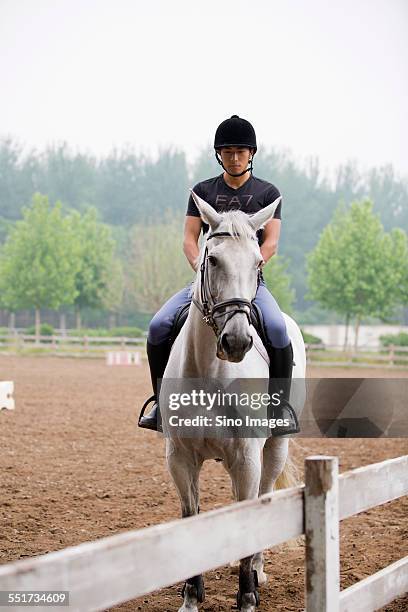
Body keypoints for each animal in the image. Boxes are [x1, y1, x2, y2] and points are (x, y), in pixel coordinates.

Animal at [160, 192, 306, 612]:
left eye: (258, 262)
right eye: (212, 259)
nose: (237, 341)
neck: (210, 375)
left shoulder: (246, 457)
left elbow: (251, 512)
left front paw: (247, 597)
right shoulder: (180, 458)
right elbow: (191, 517)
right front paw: (191, 597)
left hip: (273, 449)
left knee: (264, 495)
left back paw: (256, 569)